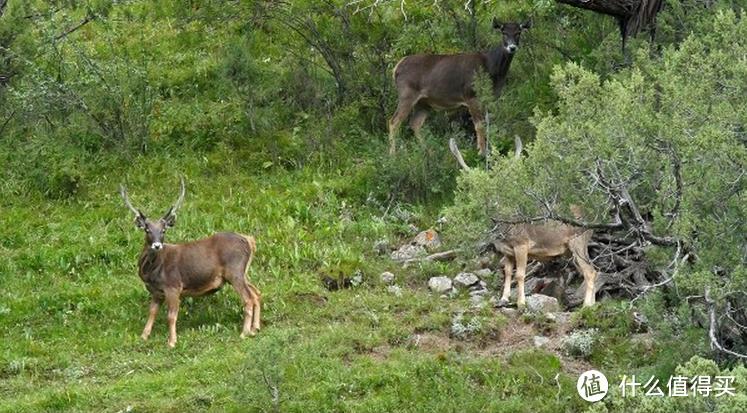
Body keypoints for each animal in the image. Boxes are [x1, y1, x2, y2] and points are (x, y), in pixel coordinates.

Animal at [120, 178, 262, 348]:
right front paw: (143, 336)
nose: (157, 245)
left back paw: (244, 332)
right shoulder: (156, 291)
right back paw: (255, 328)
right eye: (147, 230)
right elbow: (152, 313)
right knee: (256, 292)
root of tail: (249, 240)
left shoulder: (173, 286)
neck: (152, 272)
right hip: (242, 272)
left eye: (163, 230)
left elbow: (171, 316)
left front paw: (172, 342)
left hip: (234, 270)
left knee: (248, 298)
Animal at [386, 17, 532, 156]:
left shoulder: (490, 99)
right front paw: (481, 151)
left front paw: (486, 148)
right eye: (504, 32)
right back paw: (393, 155)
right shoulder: (471, 95)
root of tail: (396, 68)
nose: (512, 47)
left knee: (415, 124)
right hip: (407, 94)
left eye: (518, 32)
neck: (491, 69)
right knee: (394, 122)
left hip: (424, 102)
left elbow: (487, 124)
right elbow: (479, 125)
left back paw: (430, 152)